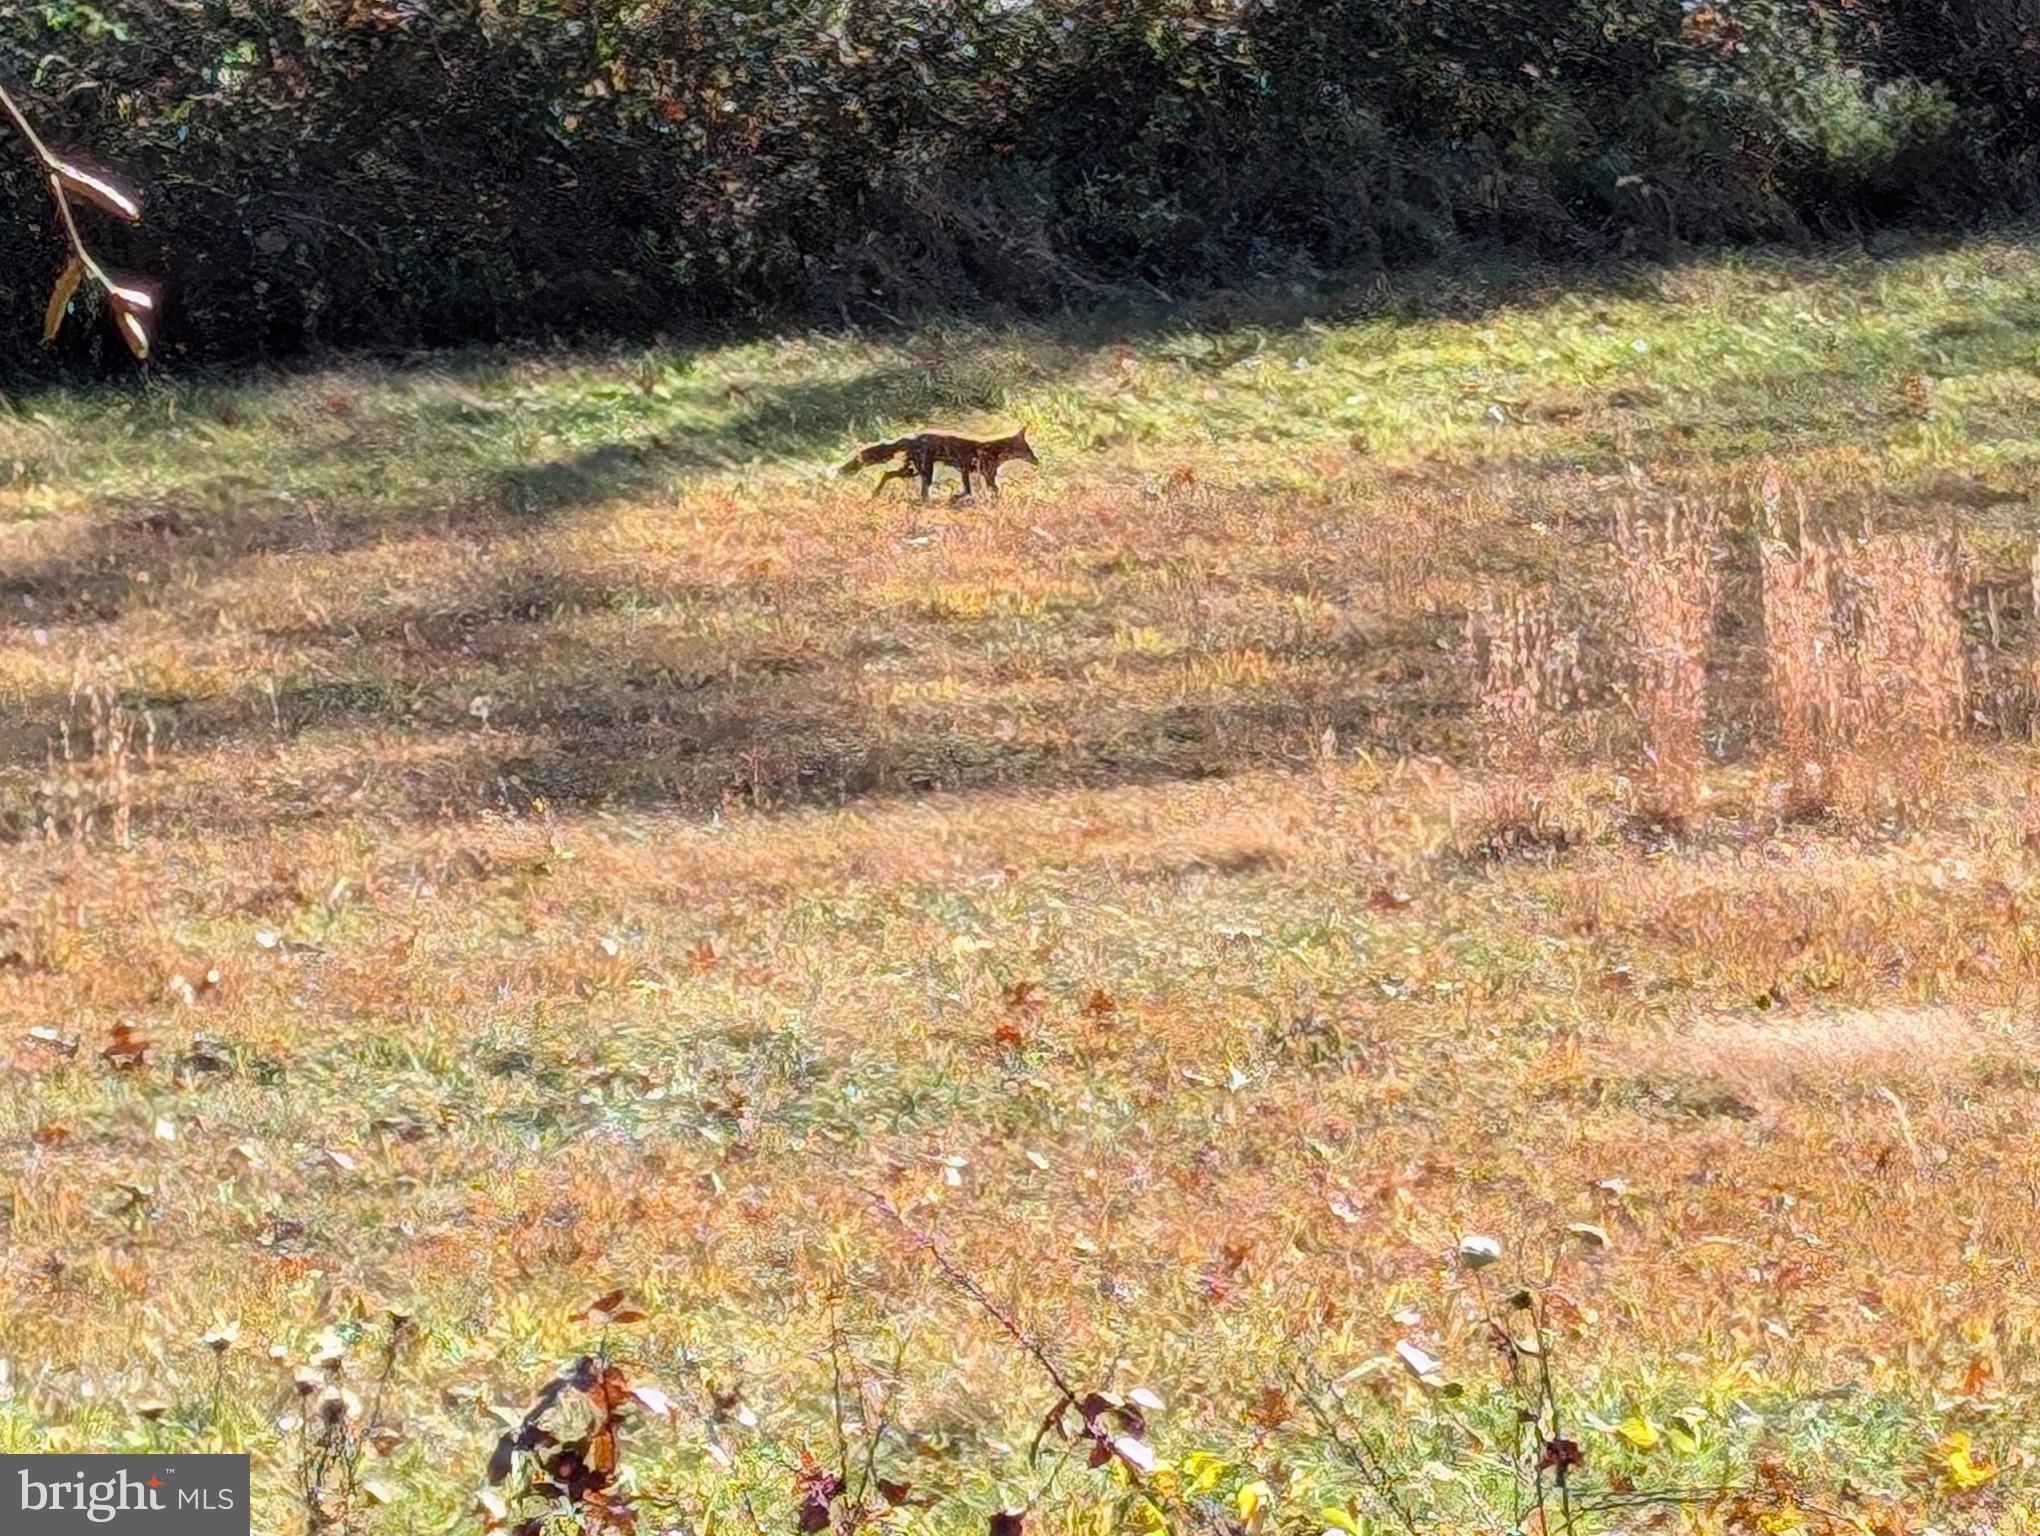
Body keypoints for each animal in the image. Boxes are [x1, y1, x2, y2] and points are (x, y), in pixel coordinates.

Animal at [837, 426, 1038, 501]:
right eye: (1028, 450)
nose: (1037, 461)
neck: (995, 450)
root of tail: (910, 437)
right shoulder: (976, 471)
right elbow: (981, 490)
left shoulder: (971, 471)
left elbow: (974, 489)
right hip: (924, 470)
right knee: (920, 489)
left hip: (912, 470)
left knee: (887, 474)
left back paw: (875, 493)